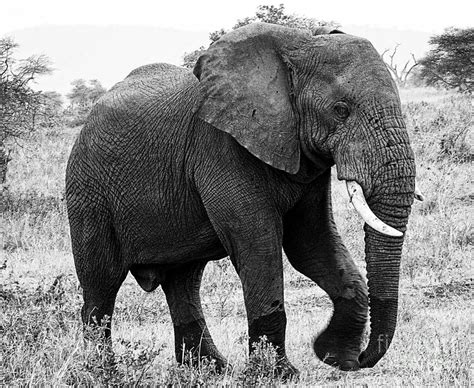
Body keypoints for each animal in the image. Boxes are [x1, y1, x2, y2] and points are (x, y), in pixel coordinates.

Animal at [65, 22, 418, 376]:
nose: (361, 359)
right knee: (101, 284)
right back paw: (102, 372)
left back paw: (209, 370)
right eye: (341, 110)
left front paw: (332, 355)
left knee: (183, 281)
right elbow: (257, 242)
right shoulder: (220, 146)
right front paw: (277, 374)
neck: (296, 46)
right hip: (87, 191)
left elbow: (309, 242)